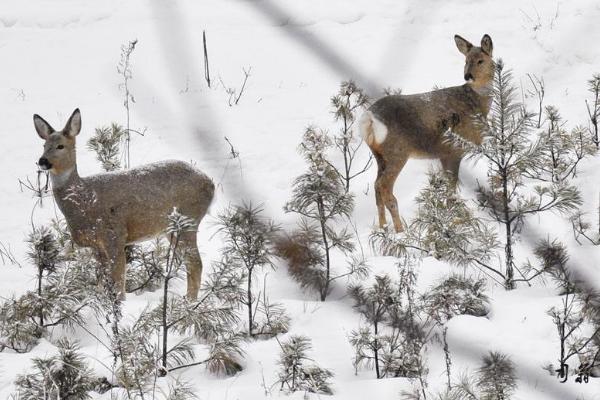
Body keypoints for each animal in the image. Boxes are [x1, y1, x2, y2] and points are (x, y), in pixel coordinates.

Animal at [34, 109, 214, 300]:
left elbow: (119, 283)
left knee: (195, 262)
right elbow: (101, 283)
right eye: (44, 145)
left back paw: (189, 302)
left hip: (188, 219)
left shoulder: (115, 235)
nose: (42, 161)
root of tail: (210, 183)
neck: (84, 201)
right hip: (171, 229)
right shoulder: (96, 245)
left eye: (60, 146)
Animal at [358, 33, 494, 233]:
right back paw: (400, 230)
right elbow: (452, 189)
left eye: (480, 60)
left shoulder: (444, 154)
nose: (467, 76)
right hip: (397, 152)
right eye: (466, 60)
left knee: (376, 187)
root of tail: (369, 119)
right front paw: (454, 218)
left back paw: (383, 228)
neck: (476, 105)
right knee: (384, 187)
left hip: (379, 156)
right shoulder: (454, 151)